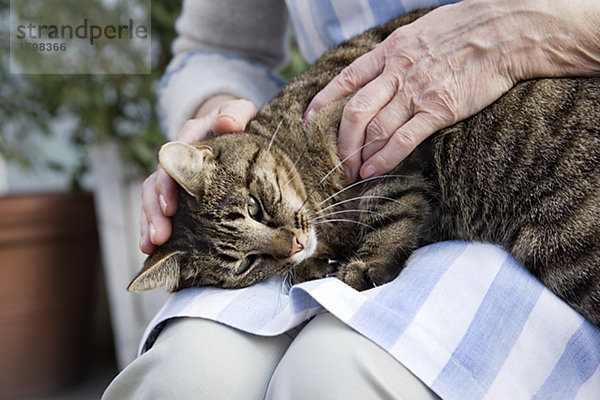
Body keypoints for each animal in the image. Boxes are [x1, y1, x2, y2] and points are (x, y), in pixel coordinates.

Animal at [130, 9, 600, 326]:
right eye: (245, 264)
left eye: (253, 207)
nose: (293, 245)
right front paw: (313, 266)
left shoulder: (382, 142)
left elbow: (389, 209)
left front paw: (363, 264)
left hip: (568, 246)